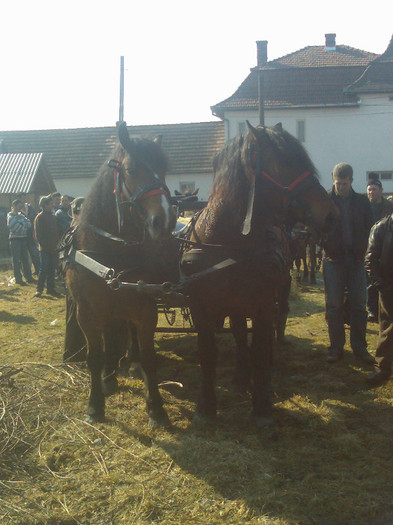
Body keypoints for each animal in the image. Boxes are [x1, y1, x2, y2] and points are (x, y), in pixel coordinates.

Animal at [66, 123, 176, 426]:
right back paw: (110, 376)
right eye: (131, 169)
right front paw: (95, 405)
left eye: (164, 169)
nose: (164, 221)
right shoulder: (86, 312)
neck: (108, 252)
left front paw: (156, 408)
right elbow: (94, 355)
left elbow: (149, 356)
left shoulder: (145, 308)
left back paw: (130, 362)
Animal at [181, 122, 336, 426]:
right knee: (240, 332)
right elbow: (208, 351)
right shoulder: (200, 304)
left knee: (273, 319)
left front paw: (262, 407)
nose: (329, 213)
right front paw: (206, 407)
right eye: (286, 162)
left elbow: (261, 348)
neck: (229, 243)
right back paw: (242, 377)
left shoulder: (263, 303)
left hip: (279, 287)